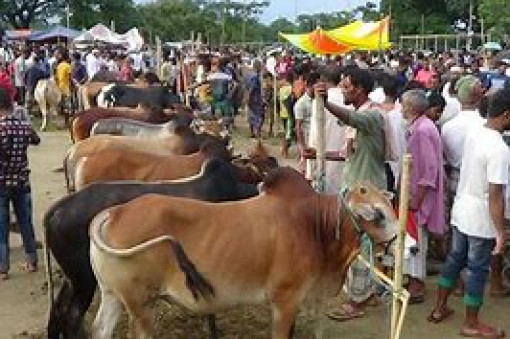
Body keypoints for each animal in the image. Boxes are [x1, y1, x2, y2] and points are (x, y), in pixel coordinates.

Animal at [89, 168, 396, 339]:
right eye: (379, 215)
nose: (401, 244)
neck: (313, 225)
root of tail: (114, 213)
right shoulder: (284, 301)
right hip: (141, 305)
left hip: (114, 295)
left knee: (99, 330)